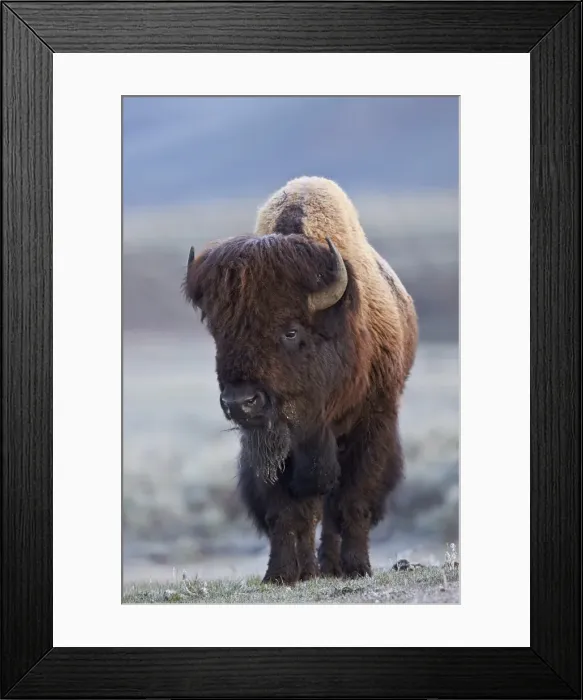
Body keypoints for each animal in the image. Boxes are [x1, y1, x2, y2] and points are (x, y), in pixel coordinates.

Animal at [183, 176, 418, 584]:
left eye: (291, 332)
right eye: (219, 333)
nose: (240, 403)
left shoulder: (373, 423)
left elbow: (352, 500)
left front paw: (356, 567)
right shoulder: (272, 446)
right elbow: (287, 512)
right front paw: (280, 574)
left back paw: (334, 565)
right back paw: (310, 568)